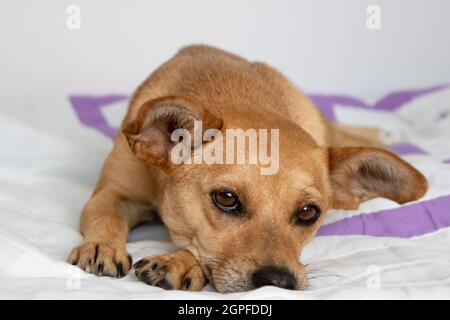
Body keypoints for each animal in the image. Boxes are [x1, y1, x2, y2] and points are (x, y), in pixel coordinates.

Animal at [67, 44, 428, 292]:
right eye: (226, 198)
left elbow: (197, 247)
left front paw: (181, 263)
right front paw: (102, 245)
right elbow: (106, 215)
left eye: (308, 212)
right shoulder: (113, 192)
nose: (278, 282)